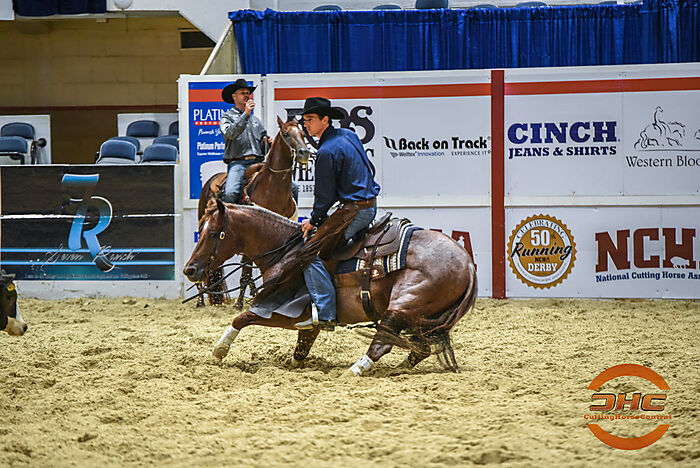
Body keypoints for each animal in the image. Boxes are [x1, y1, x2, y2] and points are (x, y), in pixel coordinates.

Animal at [183, 200, 477, 376]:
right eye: (200, 229)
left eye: (213, 233)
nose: (190, 270)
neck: (286, 251)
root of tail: (468, 264)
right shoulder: (309, 323)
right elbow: (300, 351)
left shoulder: (283, 311)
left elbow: (241, 317)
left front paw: (219, 351)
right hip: (419, 319)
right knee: (421, 348)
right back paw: (398, 368)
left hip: (402, 306)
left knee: (383, 344)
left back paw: (355, 370)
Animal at [196, 116, 311, 309]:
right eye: (286, 134)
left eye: (303, 133)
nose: (304, 153)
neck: (272, 188)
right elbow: (245, 272)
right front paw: (239, 304)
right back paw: (200, 300)